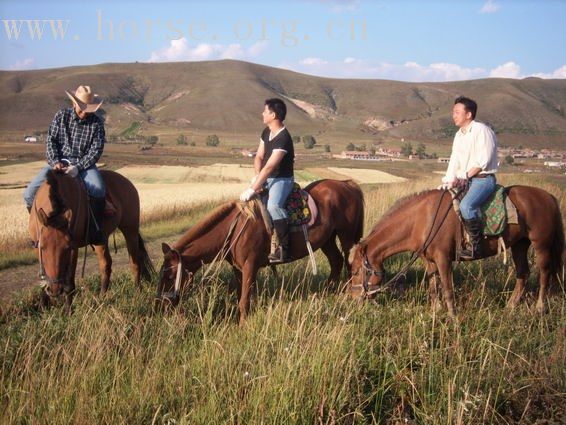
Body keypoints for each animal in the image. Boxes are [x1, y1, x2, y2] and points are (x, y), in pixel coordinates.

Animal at [28, 167, 153, 306]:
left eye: (67, 248)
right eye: (43, 248)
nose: (55, 289)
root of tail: (127, 182)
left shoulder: (74, 249)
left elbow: (69, 283)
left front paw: (68, 309)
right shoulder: (37, 246)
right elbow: (43, 273)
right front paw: (44, 304)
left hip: (130, 230)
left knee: (135, 262)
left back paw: (138, 293)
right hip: (101, 239)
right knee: (105, 264)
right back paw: (102, 298)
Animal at [158, 178, 366, 322]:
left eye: (170, 276)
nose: (162, 306)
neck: (234, 229)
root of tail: (347, 184)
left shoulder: (250, 266)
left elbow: (244, 300)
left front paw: (242, 326)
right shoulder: (238, 269)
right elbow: (244, 296)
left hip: (346, 237)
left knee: (350, 264)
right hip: (327, 240)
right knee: (336, 262)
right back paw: (326, 292)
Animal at [348, 186, 564, 318]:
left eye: (357, 271)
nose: (353, 298)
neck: (422, 220)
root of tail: (549, 197)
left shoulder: (444, 258)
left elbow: (447, 287)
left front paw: (452, 316)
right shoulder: (430, 260)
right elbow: (433, 286)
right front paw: (435, 311)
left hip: (541, 245)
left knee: (544, 273)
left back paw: (540, 307)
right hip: (520, 244)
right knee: (523, 273)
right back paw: (511, 306)